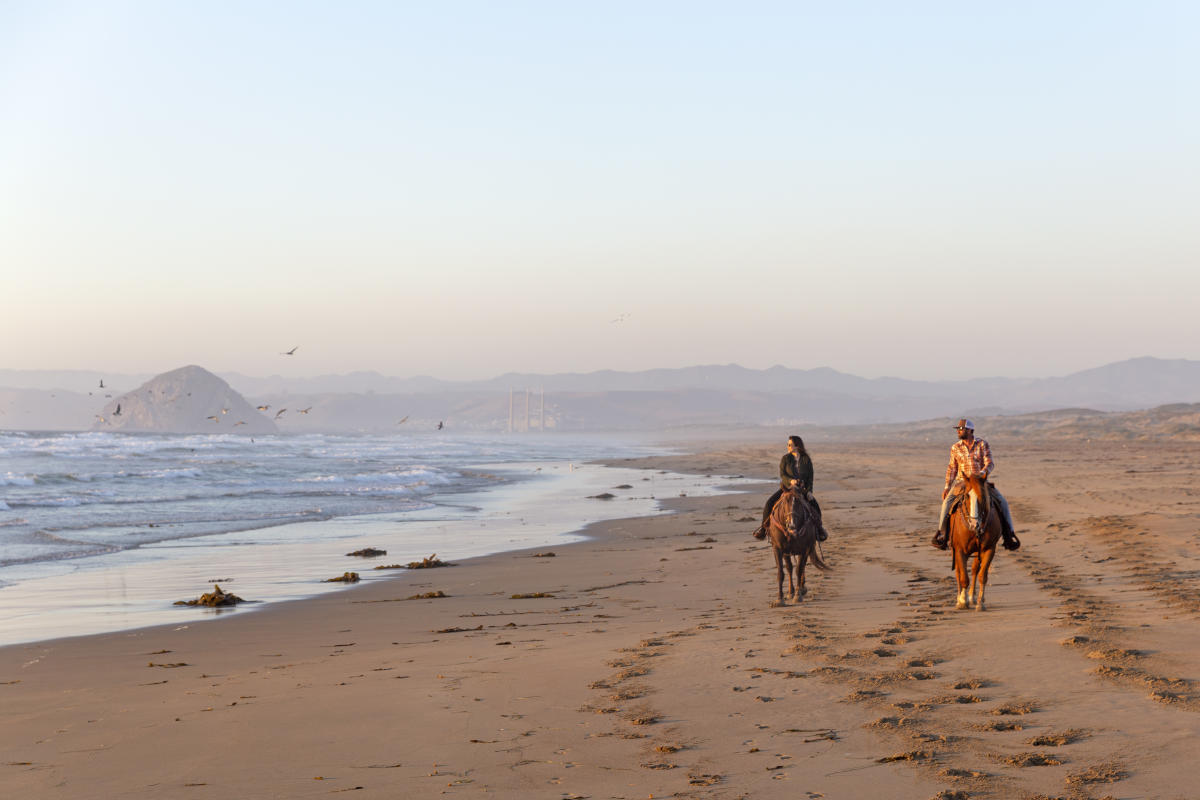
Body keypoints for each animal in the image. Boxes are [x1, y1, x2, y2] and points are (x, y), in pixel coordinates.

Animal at [950, 472, 998, 609]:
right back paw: (960, 598)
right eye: (966, 496)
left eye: (982, 497)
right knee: (959, 572)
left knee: (975, 569)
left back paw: (972, 597)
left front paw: (980, 603)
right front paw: (962, 601)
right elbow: (963, 577)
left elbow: (982, 575)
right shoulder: (959, 550)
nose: (974, 524)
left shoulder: (989, 549)